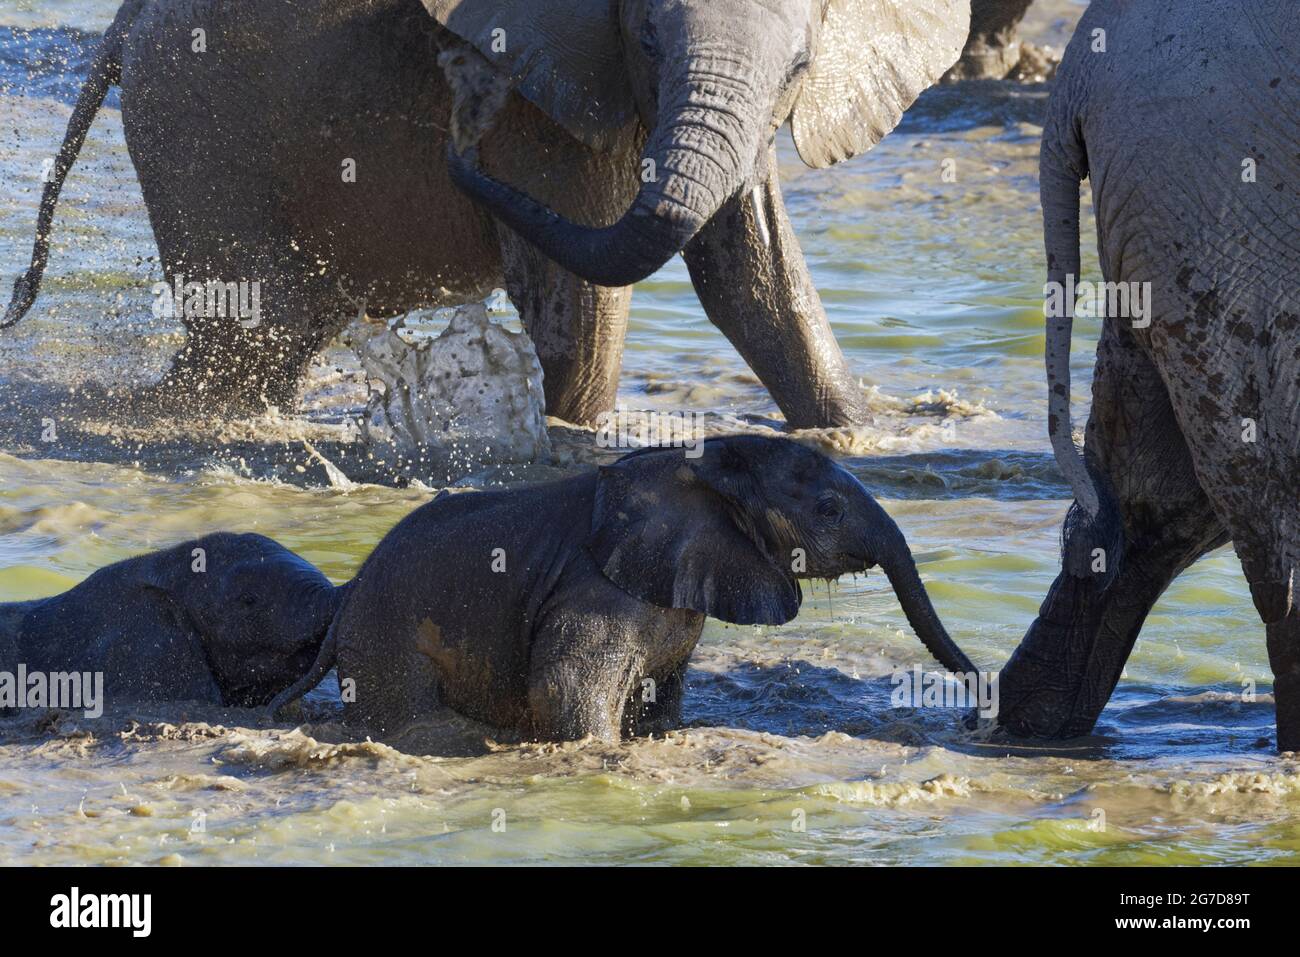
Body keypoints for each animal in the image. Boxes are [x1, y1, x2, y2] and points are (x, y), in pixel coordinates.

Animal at [7, 0, 967, 429]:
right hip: (195, 121)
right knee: (259, 333)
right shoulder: (549, 99)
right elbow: (588, 304)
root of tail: (123, 23)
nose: (461, 124)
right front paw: (575, 444)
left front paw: (857, 437)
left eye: (803, 65)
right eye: (646, 38)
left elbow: (755, 281)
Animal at [271, 436, 977, 743]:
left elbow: (661, 697)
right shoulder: (596, 591)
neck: (702, 460)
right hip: (388, 640)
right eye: (829, 510)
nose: (973, 708)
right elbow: (564, 691)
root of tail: (346, 597)